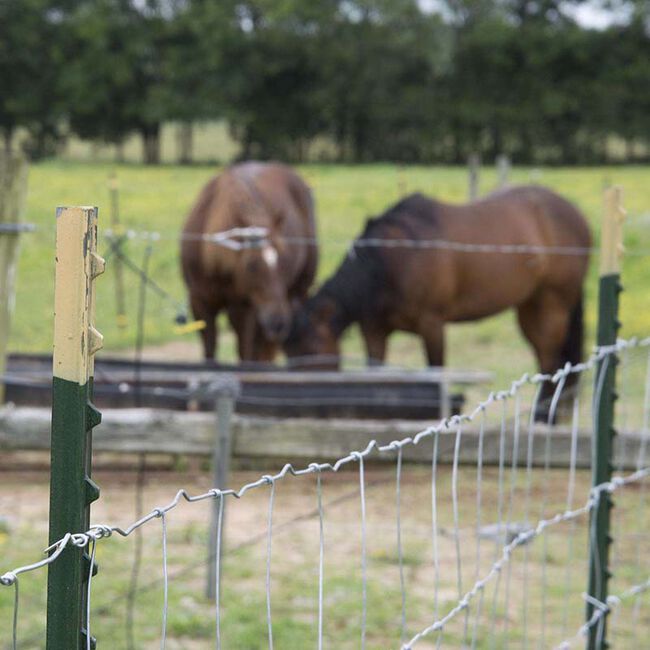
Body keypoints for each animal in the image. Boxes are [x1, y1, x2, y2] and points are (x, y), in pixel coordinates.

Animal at [181, 161, 318, 362]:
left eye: (283, 262)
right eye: (251, 266)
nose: (278, 322)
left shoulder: (245, 310)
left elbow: (245, 353)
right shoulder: (199, 303)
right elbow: (210, 350)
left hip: (297, 293)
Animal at [284, 186, 591, 419]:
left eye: (313, 348)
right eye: (289, 353)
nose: (299, 403)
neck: (393, 261)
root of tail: (576, 215)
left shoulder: (431, 324)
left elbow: (435, 371)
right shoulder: (374, 331)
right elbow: (377, 373)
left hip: (553, 304)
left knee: (551, 360)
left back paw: (544, 418)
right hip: (529, 307)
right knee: (544, 358)